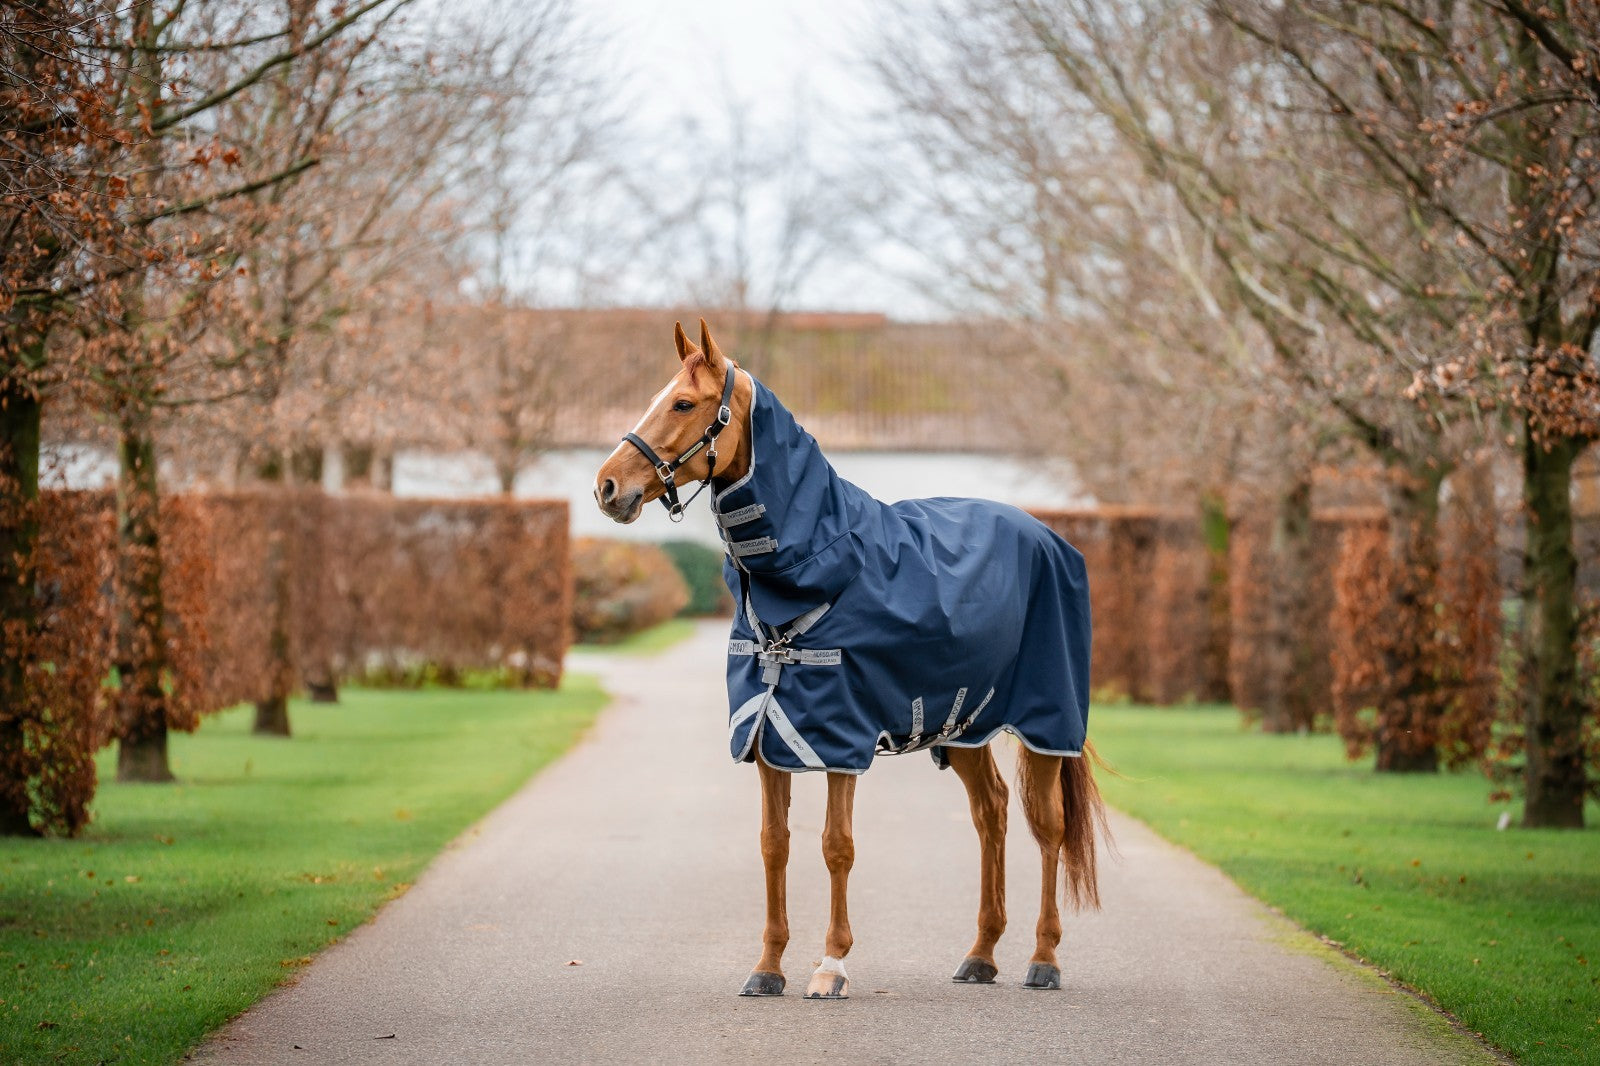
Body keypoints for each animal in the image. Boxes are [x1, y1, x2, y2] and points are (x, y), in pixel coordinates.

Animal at [593, 319, 1107, 1000]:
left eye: (682, 404)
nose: (606, 487)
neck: (822, 563)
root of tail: (1051, 539)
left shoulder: (840, 735)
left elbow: (837, 845)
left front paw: (830, 965)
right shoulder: (768, 733)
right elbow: (774, 844)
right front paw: (767, 968)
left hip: (1047, 721)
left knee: (1047, 827)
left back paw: (1043, 959)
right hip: (964, 726)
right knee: (990, 814)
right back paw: (980, 955)